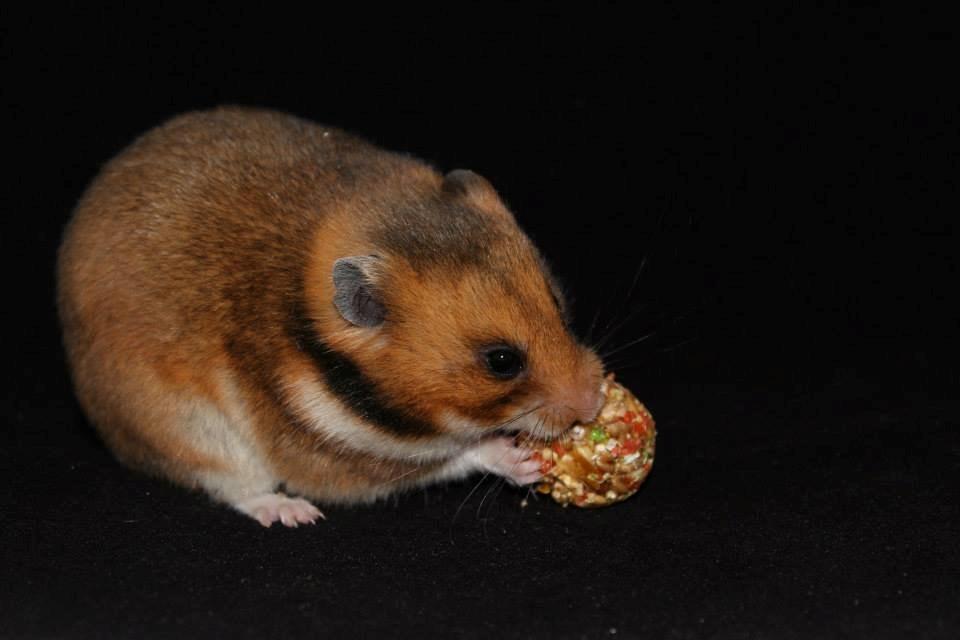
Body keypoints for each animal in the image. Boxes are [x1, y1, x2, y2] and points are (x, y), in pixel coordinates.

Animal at [57, 107, 604, 527]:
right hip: (190, 432)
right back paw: (293, 513)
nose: (595, 401)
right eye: (501, 361)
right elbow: (452, 457)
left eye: (557, 304)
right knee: (234, 486)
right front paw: (520, 459)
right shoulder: (335, 454)